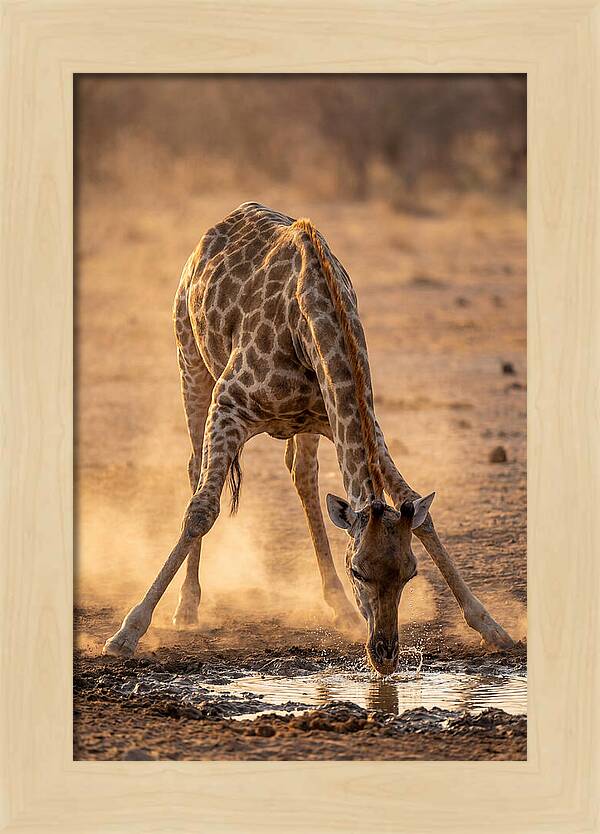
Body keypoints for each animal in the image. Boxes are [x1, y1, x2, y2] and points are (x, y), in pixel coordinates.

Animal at [102, 202, 514, 671]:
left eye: (409, 572)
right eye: (358, 570)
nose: (385, 654)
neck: (311, 321)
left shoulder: (355, 419)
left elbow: (419, 513)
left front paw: (491, 626)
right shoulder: (228, 405)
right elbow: (201, 511)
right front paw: (128, 631)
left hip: (305, 425)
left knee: (303, 476)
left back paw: (339, 607)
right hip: (190, 362)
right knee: (195, 471)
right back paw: (187, 608)